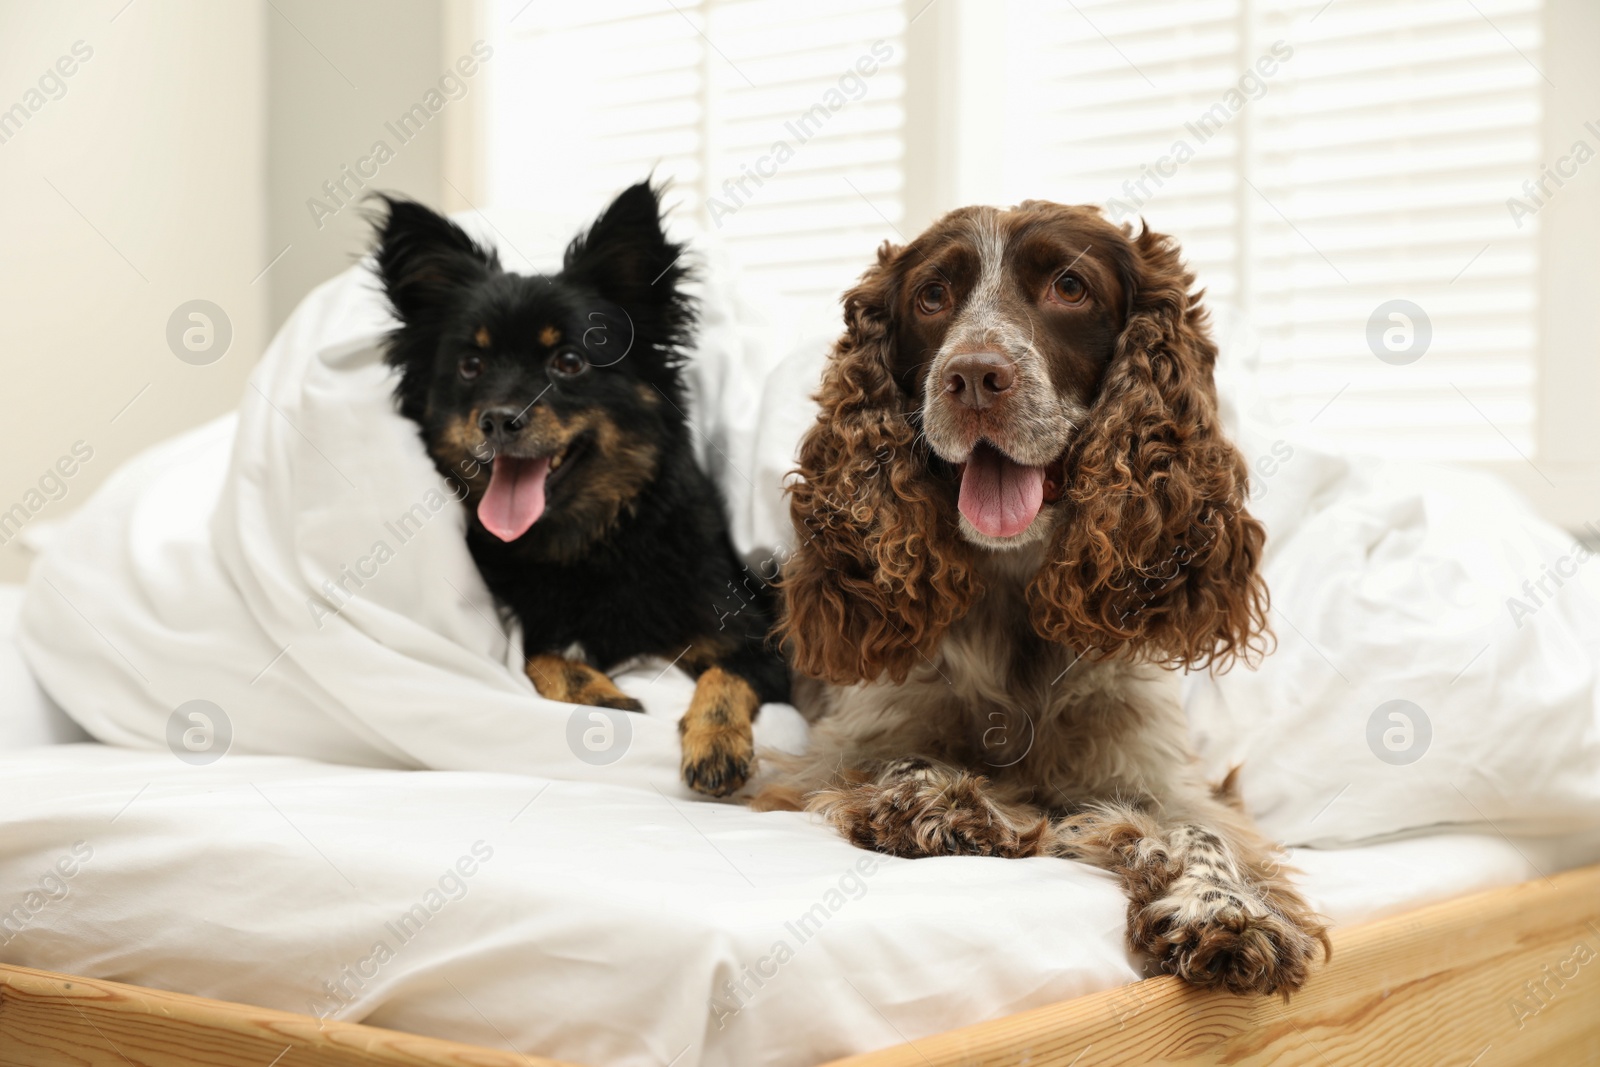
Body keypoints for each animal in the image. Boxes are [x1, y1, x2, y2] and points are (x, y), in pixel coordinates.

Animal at [364, 183, 787, 796]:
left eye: (569, 362)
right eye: (470, 366)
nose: (498, 420)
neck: (589, 542)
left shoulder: (762, 643)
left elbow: (724, 676)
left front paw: (716, 743)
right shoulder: (525, 627)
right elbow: (542, 657)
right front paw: (599, 694)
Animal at [758, 202, 1324, 1004]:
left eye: (1069, 286)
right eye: (933, 296)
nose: (973, 375)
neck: (1015, 593)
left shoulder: (1165, 776)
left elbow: (1202, 832)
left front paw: (1225, 906)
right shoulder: (833, 752)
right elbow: (899, 763)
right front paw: (944, 802)